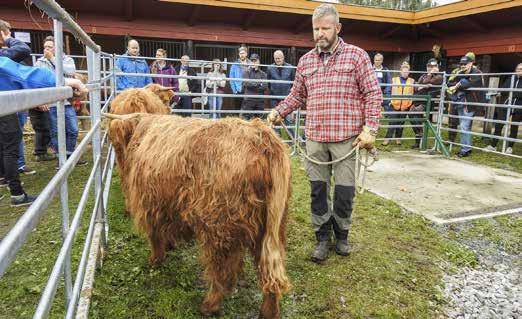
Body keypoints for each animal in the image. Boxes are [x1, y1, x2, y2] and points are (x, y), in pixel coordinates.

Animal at [107, 114, 290, 318]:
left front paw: (155, 259)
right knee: (268, 269)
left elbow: (155, 235)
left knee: (223, 268)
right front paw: (168, 247)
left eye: (114, 142)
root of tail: (263, 136)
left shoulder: (150, 204)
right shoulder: (167, 206)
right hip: (271, 226)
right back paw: (268, 311)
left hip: (218, 224)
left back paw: (210, 305)